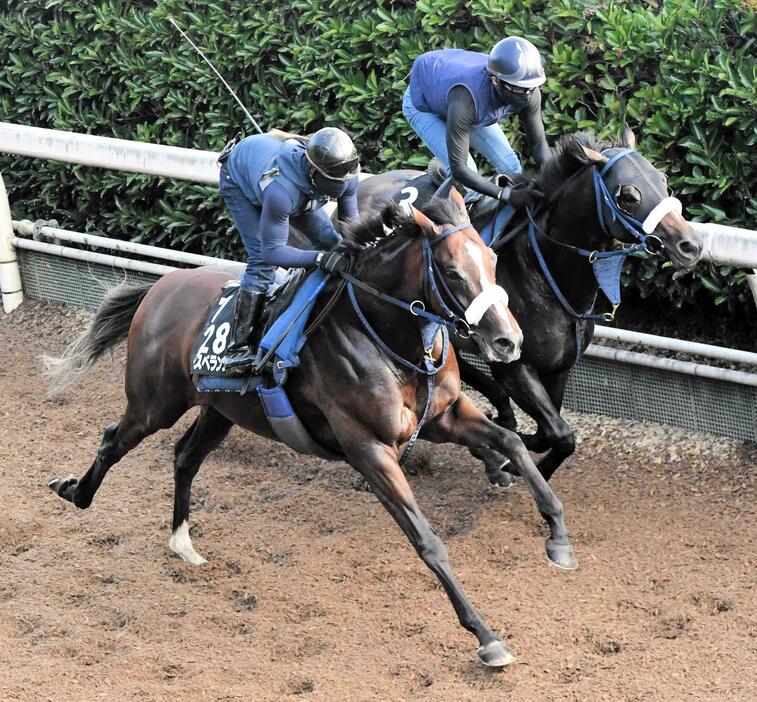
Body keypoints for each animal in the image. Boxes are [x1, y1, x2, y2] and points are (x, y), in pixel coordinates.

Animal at [44, 194, 568, 672]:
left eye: (494, 261)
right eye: (453, 273)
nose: (509, 341)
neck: (383, 334)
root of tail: (161, 285)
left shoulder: (446, 416)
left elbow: (511, 442)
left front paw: (558, 537)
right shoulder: (369, 449)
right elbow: (428, 541)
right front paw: (487, 637)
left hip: (221, 409)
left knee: (185, 455)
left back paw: (182, 542)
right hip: (156, 403)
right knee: (114, 438)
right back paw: (74, 492)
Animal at [358, 128, 700, 490]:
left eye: (664, 181)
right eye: (630, 196)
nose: (690, 245)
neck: (544, 270)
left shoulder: (559, 365)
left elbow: (552, 431)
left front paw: (517, 450)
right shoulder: (515, 365)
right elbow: (561, 434)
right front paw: (513, 460)